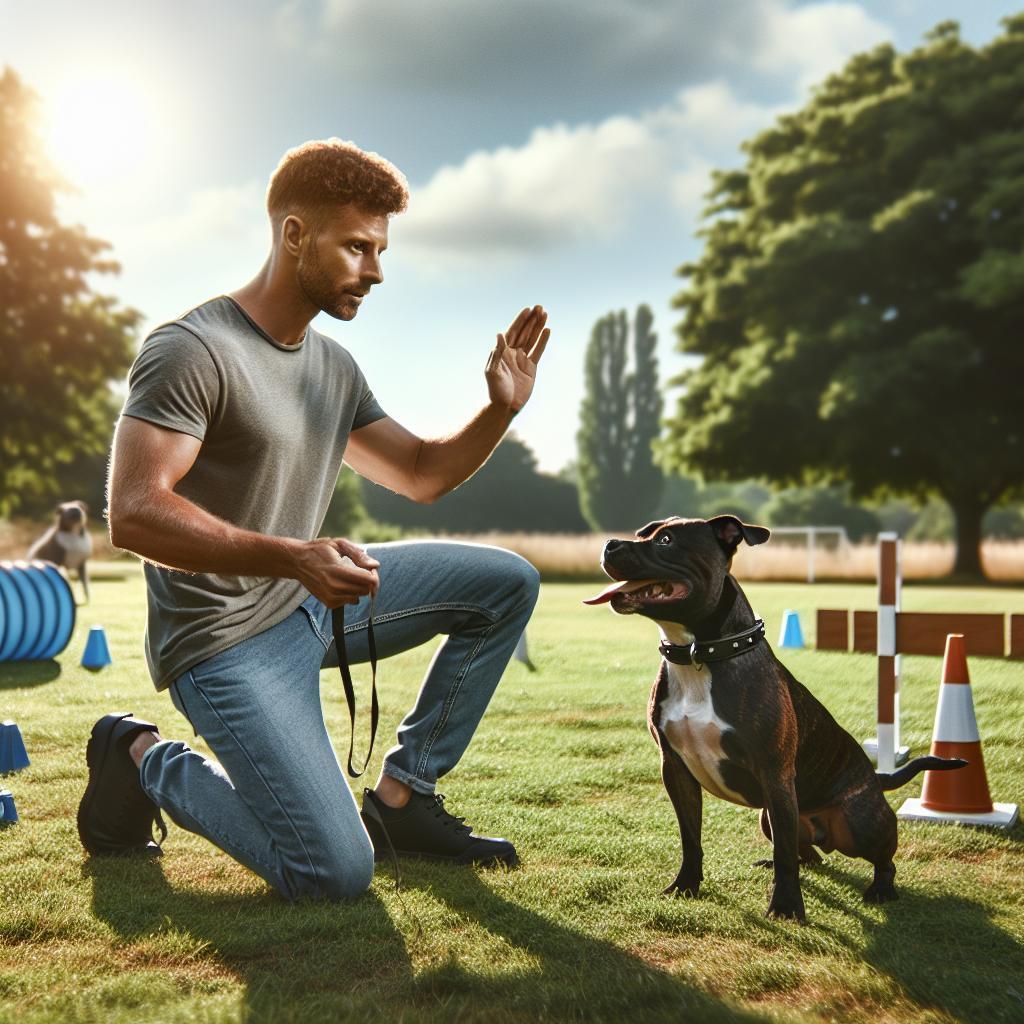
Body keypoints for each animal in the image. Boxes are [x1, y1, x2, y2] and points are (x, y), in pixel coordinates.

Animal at [589, 516, 962, 925]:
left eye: (666, 540)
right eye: (643, 532)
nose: (608, 544)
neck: (698, 655)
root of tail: (876, 778)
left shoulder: (774, 774)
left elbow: (784, 855)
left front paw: (785, 907)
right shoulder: (675, 769)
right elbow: (691, 837)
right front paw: (686, 886)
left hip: (858, 823)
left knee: (879, 859)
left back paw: (881, 888)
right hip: (770, 816)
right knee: (804, 852)